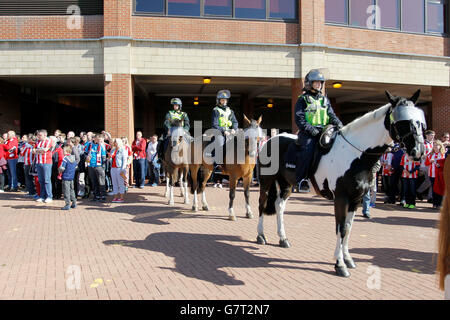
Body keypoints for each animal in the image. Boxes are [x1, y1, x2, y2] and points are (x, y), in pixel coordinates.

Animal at [256, 90, 426, 278]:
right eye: (402, 121)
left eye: (419, 121)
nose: (418, 151)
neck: (356, 155)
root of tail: (271, 139)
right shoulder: (341, 198)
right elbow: (341, 228)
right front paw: (339, 264)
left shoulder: (356, 199)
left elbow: (349, 228)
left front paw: (348, 259)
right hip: (266, 182)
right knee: (262, 204)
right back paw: (261, 235)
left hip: (286, 184)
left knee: (279, 206)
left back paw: (283, 238)